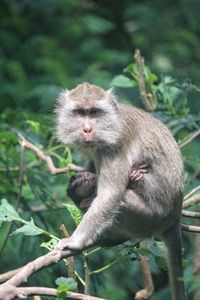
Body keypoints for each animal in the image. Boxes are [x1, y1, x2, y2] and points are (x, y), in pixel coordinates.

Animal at [55, 82, 186, 300]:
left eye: (94, 112)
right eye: (80, 112)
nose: (87, 129)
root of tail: (175, 215)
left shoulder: (113, 147)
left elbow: (111, 195)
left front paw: (74, 242)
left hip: (148, 219)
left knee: (120, 201)